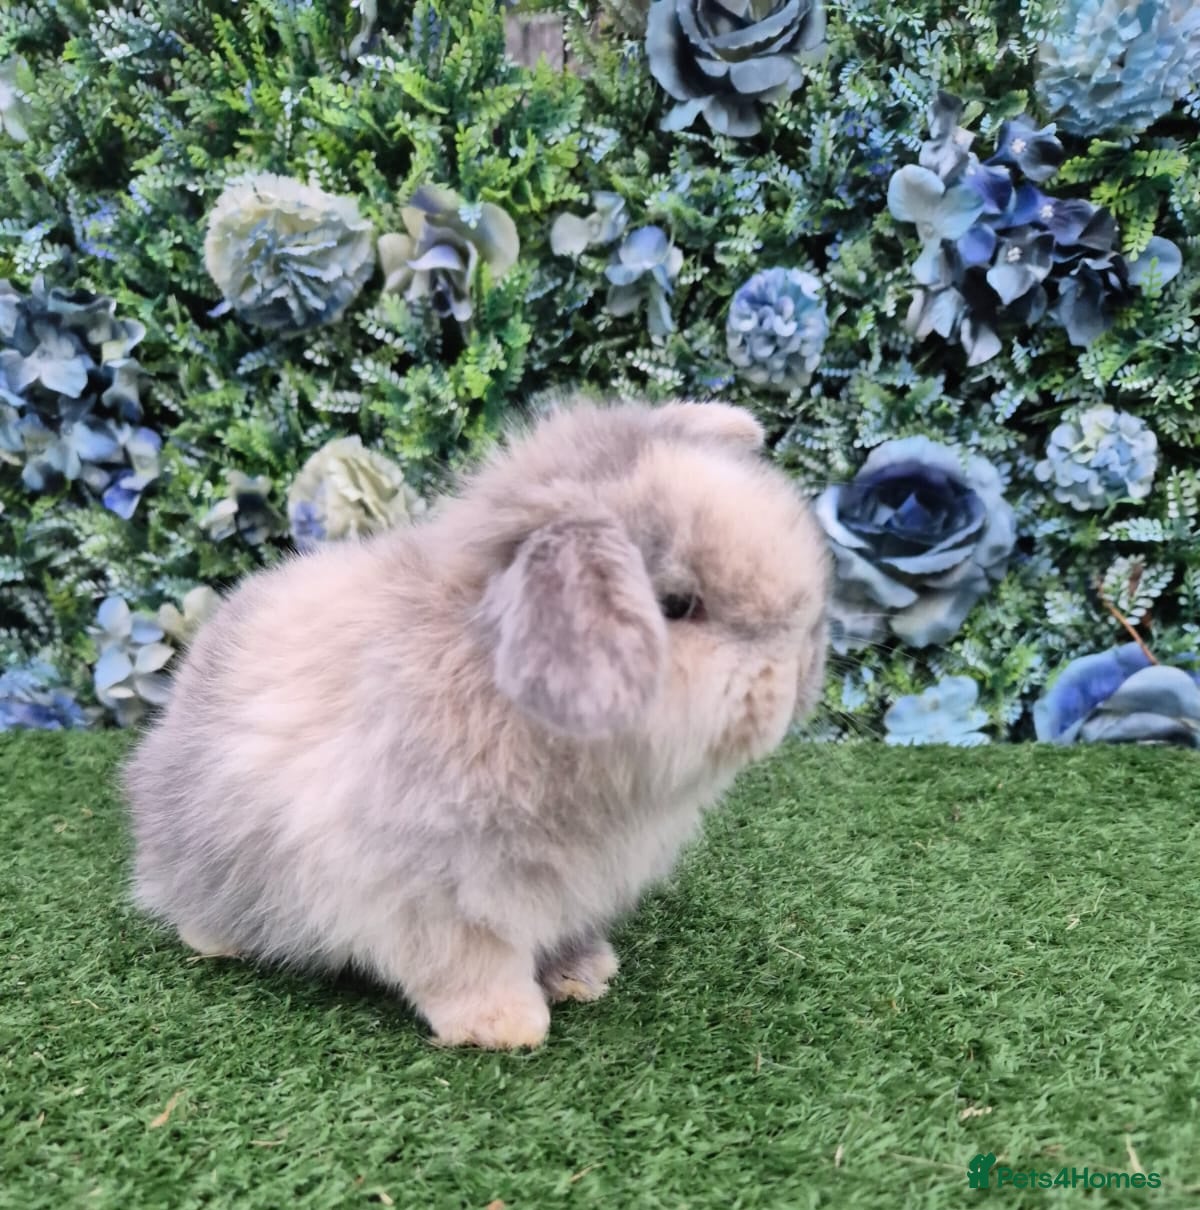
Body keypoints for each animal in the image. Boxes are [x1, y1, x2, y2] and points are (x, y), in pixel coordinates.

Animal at [123, 398, 830, 1049]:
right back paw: (216, 941)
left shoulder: (565, 886)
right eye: (678, 604)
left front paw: (584, 974)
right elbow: (466, 965)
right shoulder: (430, 894)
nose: (801, 669)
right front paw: (506, 1026)